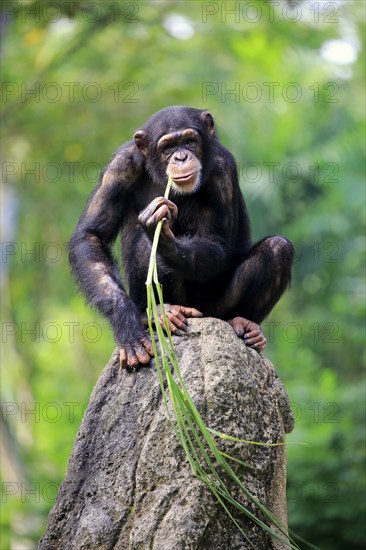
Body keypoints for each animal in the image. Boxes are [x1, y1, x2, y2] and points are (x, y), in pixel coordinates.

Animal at [69, 105, 294, 368]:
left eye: (189, 141)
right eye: (168, 147)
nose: (181, 157)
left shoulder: (223, 170)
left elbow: (216, 245)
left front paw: (168, 243)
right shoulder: (120, 166)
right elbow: (91, 235)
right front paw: (127, 326)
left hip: (215, 310)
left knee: (277, 248)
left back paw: (244, 324)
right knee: (145, 247)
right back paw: (159, 313)